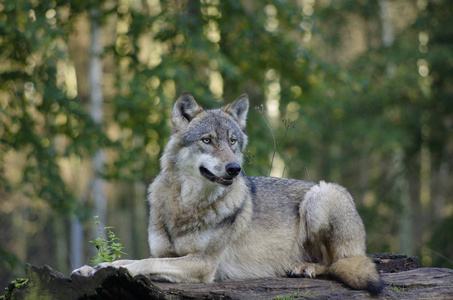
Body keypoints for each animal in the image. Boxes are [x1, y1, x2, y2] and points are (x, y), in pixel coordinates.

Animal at [72, 92, 384, 296]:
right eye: (207, 140)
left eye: (233, 141)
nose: (235, 168)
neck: (187, 205)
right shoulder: (166, 252)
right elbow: (127, 261)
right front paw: (92, 269)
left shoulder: (203, 264)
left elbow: (144, 263)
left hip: (320, 197)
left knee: (334, 263)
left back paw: (304, 267)